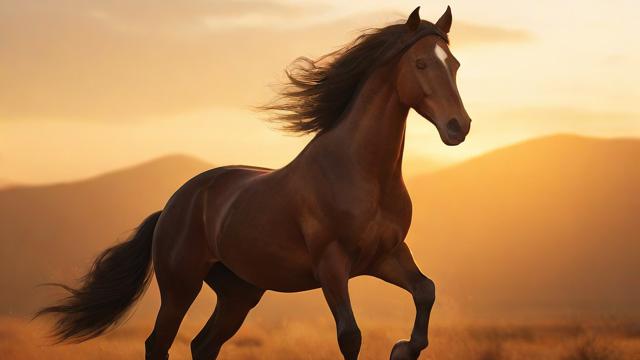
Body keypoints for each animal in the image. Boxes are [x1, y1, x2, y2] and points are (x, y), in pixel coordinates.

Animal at [38, 6, 470, 360]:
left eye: (455, 64)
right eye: (420, 64)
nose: (459, 127)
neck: (361, 174)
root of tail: (173, 205)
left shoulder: (386, 256)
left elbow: (426, 291)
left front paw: (402, 348)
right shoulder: (332, 265)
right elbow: (350, 337)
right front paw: (396, 347)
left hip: (239, 293)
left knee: (203, 345)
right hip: (180, 287)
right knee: (158, 344)